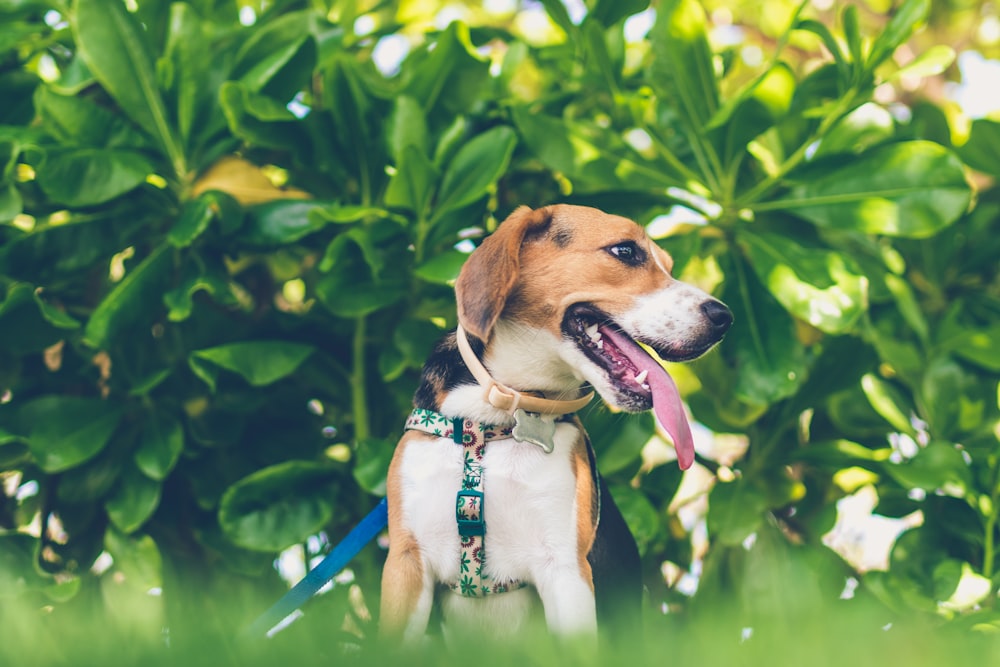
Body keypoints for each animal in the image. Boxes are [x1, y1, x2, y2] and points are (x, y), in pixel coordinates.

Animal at [378, 205, 732, 648]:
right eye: (625, 251)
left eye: (667, 266)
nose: (725, 318)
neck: (497, 420)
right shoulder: (406, 565)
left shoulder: (566, 570)